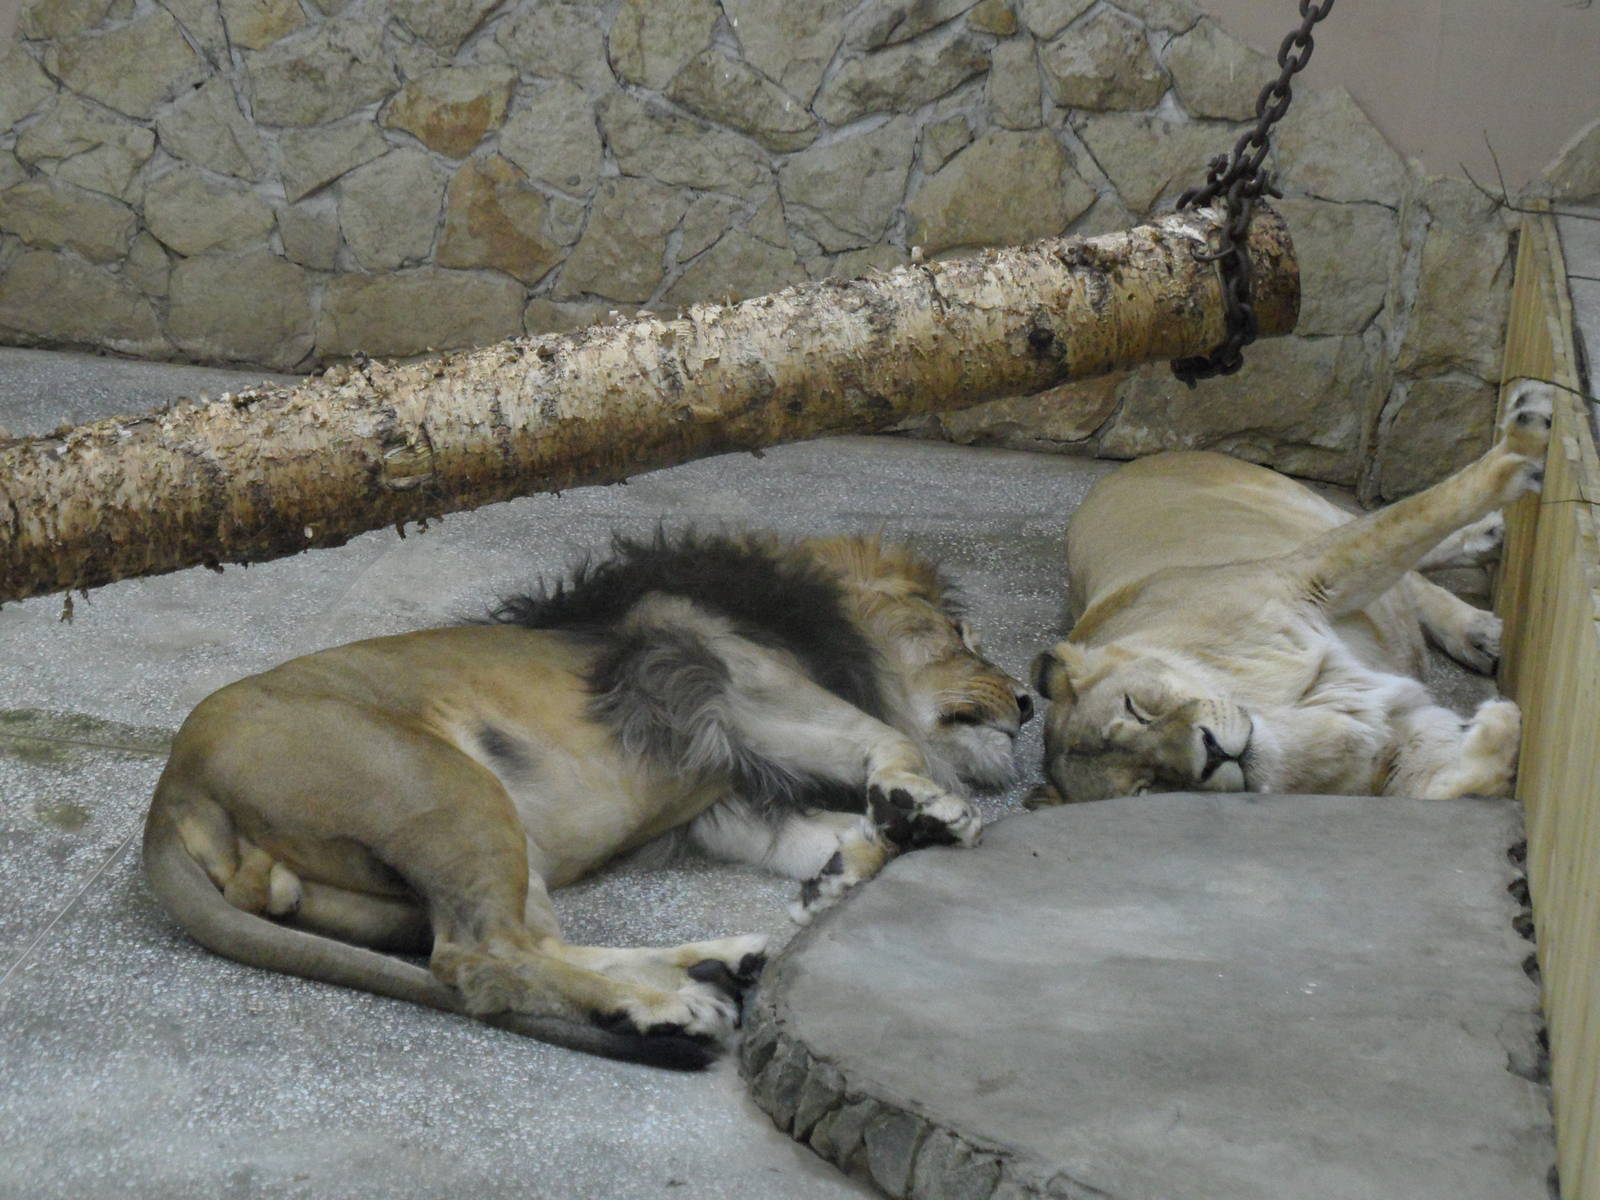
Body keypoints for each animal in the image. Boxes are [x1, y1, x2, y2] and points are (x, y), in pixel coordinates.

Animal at [143, 531, 1030, 1069]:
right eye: (962, 637)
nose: (1027, 702)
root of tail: (171, 789)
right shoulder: (743, 694)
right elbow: (892, 741)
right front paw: (930, 809)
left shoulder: (726, 804)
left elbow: (841, 836)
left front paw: (846, 870)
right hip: (454, 793)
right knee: (482, 960)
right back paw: (675, 1011)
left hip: (452, 856)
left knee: (530, 942)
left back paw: (710, 969)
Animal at [1028, 380, 1553, 807]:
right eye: (1148, 786)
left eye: (1136, 709)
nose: (1212, 756)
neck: (1274, 710)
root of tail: (1140, 461)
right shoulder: (1389, 745)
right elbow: (1461, 781)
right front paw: (1498, 724)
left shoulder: (1312, 573)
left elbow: (1422, 512)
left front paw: (1524, 442)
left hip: (1312, 511)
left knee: (1410, 563)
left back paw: (1484, 587)